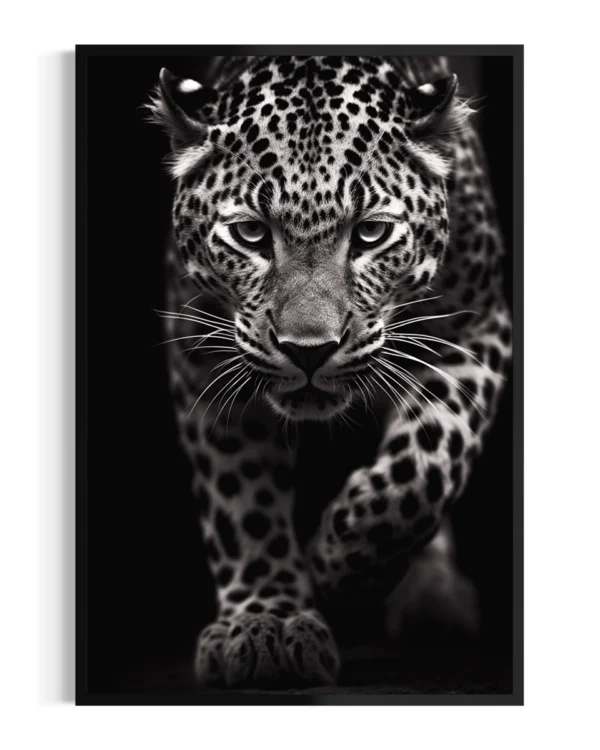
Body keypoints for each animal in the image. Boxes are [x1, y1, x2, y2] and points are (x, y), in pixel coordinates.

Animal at [147, 54, 512, 688]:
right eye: (250, 233)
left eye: (371, 232)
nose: (309, 350)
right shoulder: (202, 360)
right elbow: (243, 498)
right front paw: (266, 621)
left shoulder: (478, 324)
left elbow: (423, 466)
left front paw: (338, 571)